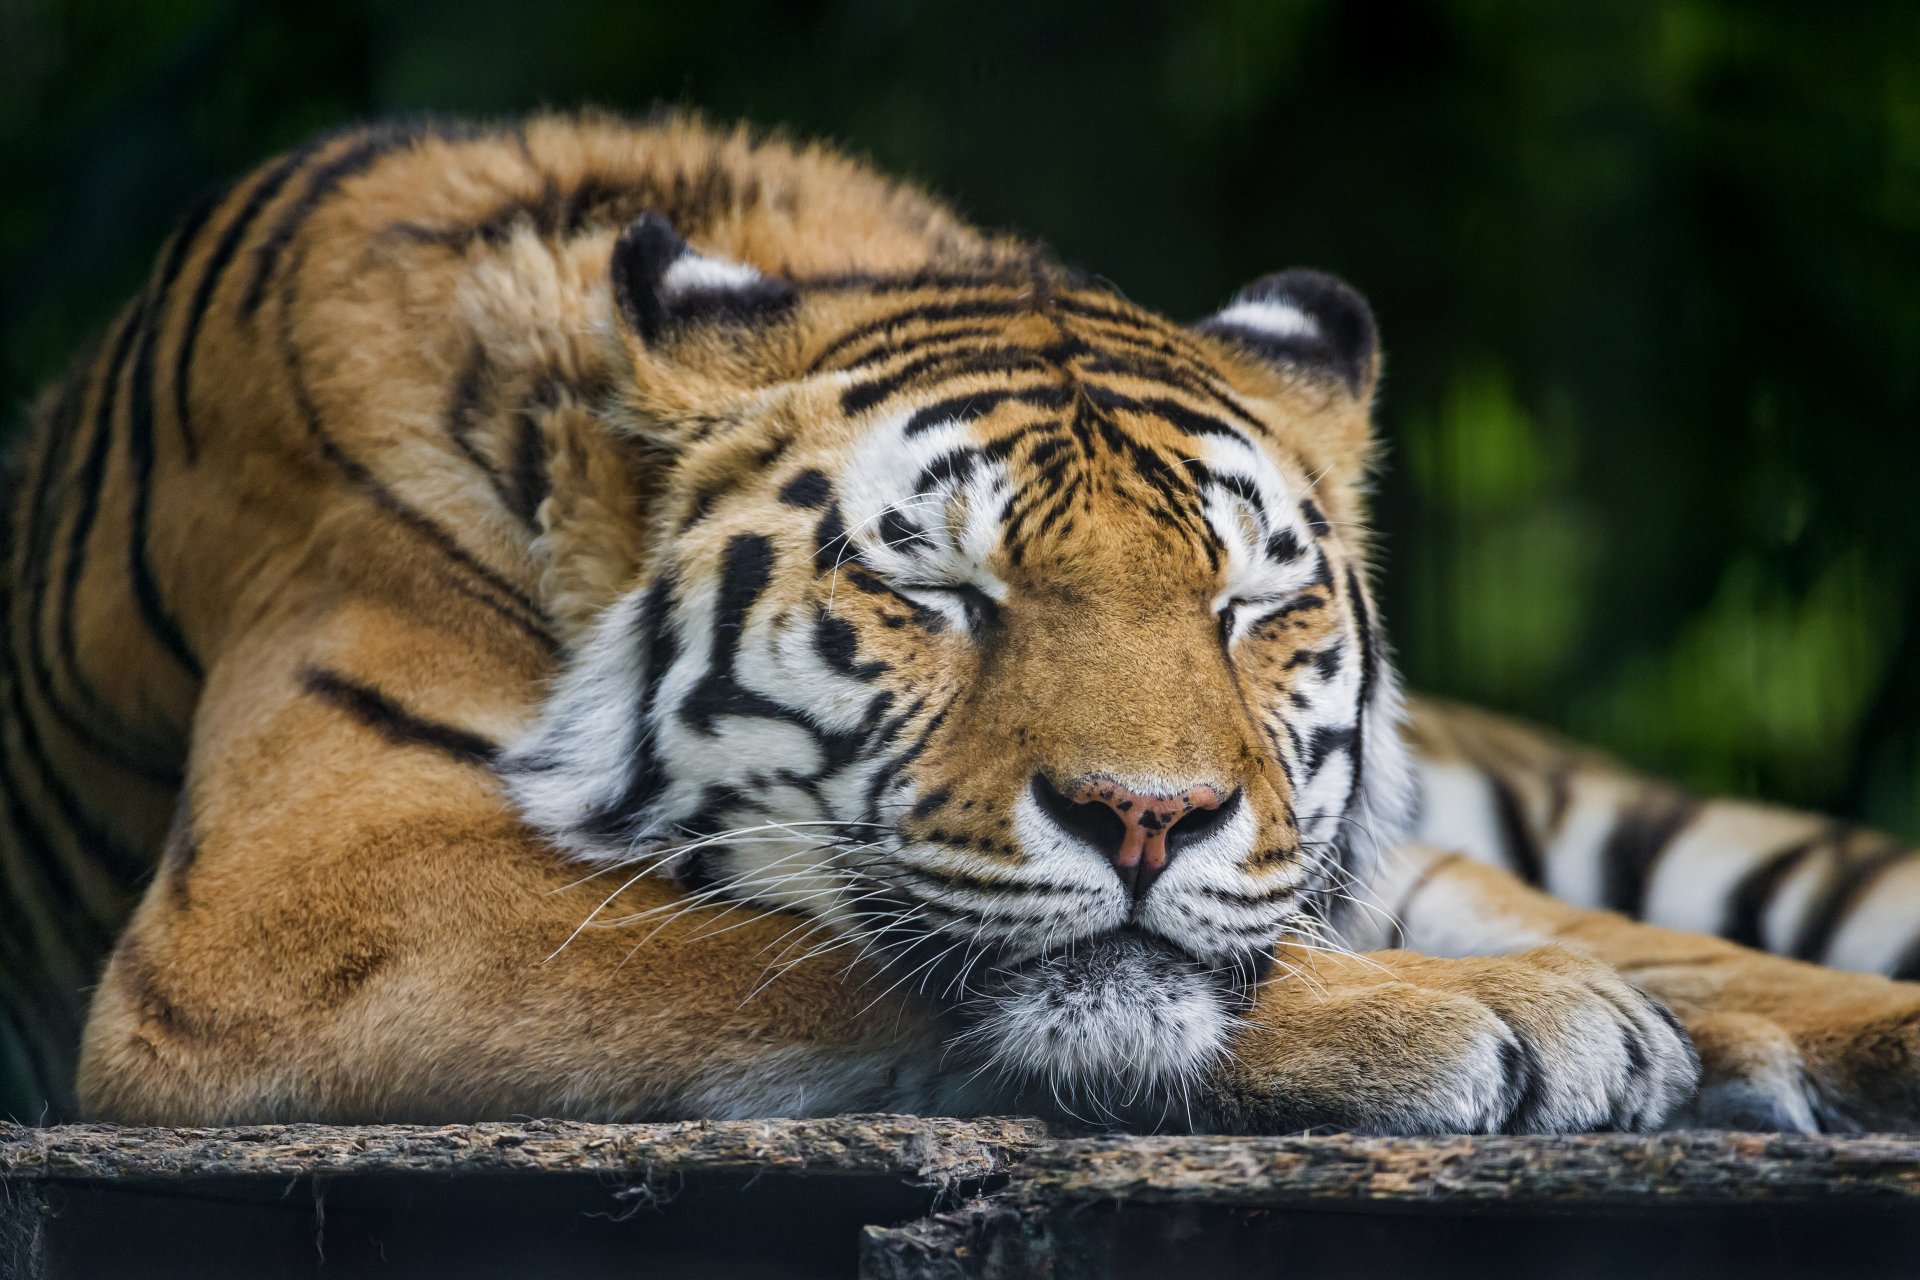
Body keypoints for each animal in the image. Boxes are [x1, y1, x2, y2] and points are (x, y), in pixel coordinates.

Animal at [3, 111, 1918, 1134]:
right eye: (936, 589)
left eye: (1249, 604)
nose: (1150, 818)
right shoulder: (305, 903)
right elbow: (777, 948)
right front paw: (1517, 1023)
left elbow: (1679, 954)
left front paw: (1703, 1029)